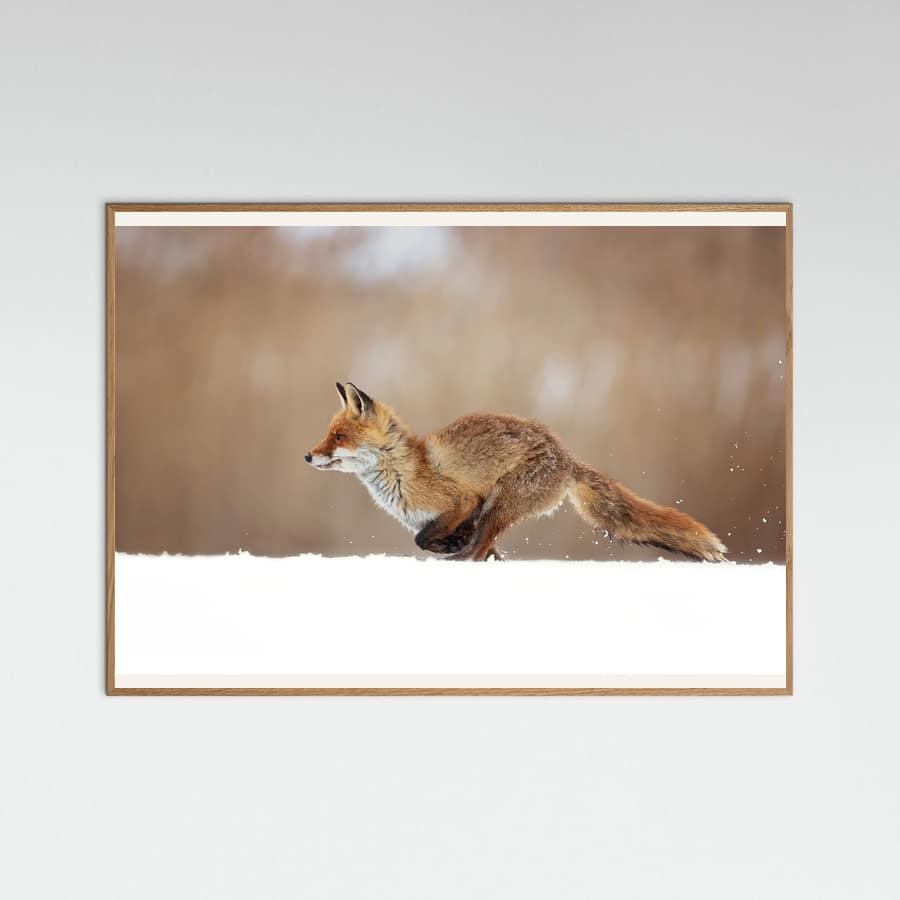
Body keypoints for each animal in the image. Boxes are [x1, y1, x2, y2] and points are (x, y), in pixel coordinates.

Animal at [305, 382, 727, 563]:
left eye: (339, 436)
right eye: (328, 433)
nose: (308, 456)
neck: (404, 470)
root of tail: (566, 455)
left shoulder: (464, 500)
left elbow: (424, 539)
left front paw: (450, 547)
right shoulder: (449, 516)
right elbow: (436, 539)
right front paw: (452, 545)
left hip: (500, 504)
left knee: (479, 549)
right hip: (499, 510)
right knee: (484, 548)